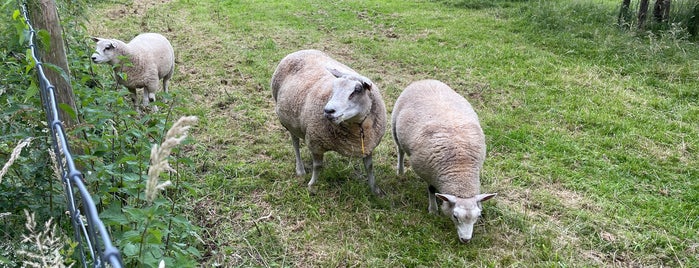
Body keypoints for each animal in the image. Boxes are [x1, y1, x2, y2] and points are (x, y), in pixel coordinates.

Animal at [270, 48, 388, 195]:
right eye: (334, 87)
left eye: (357, 90)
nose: (328, 110)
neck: (358, 128)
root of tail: (300, 51)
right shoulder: (315, 142)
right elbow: (317, 166)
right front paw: (312, 185)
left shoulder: (368, 145)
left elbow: (369, 167)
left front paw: (375, 190)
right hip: (289, 122)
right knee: (295, 142)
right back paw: (300, 169)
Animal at [394, 79, 498, 243]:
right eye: (455, 216)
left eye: (478, 216)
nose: (466, 240)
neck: (461, 168)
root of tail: (425, 80)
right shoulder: (427, 172)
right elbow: (431, 191)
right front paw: (433, 210)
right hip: (395, 130)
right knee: (400, 151)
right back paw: (400, 171)